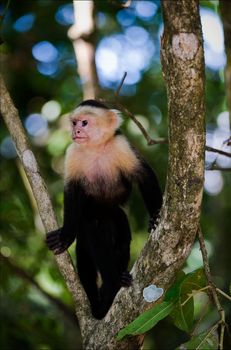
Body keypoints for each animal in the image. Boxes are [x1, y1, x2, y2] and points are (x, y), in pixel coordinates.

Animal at [46, 99, 162, 320]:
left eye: (84, 123)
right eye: (74, 122)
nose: (76, 131)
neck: (96, 148)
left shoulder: (121, 145)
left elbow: (144, 175)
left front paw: (155, 216)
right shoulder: (73, 153)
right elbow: (72, 193)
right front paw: (65, 236)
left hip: (117, 216)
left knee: (122, 240)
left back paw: (114, 284)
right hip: (91, 222)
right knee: (91, 232)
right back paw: (109, 287)